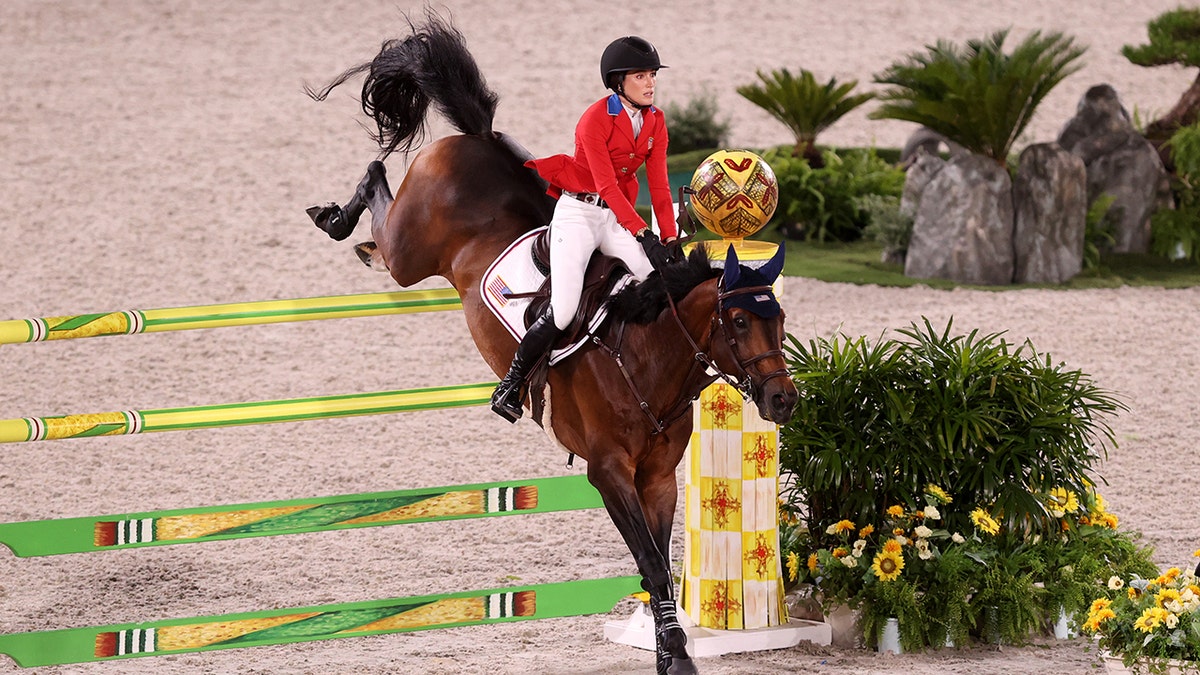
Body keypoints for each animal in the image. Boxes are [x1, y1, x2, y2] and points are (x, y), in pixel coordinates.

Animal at [309, 15, 796, 672]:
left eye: (780, 319)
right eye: (740, 322)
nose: (783, 401)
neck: (646, 362)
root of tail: (477, 139)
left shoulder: (657, 477)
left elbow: (659, 566)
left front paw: (671, 648)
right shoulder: (608, 472)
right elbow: (651, 563)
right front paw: (675, 652)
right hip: (409, 253)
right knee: (377, 188)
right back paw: (338, 220)